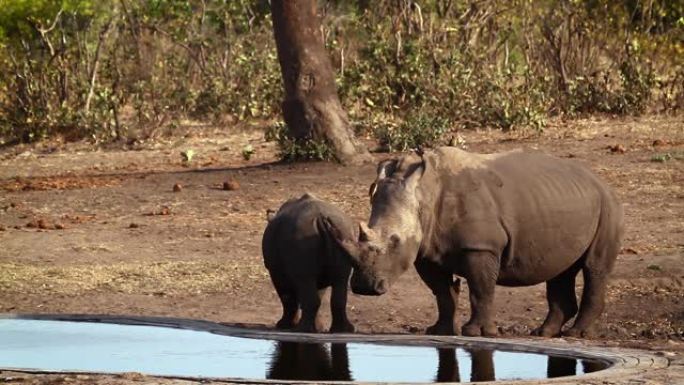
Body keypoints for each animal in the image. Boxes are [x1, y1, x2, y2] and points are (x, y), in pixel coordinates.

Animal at [262, 194, 356, 332]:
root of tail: (320, 217)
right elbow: (318, 293)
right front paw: (320, 329)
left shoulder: (276, 271)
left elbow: (287, 297)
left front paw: (283, 325)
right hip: (344, 231)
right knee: (341, 280)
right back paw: (342, 330)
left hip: (301, 236)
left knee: (305, 282)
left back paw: (302, 329)